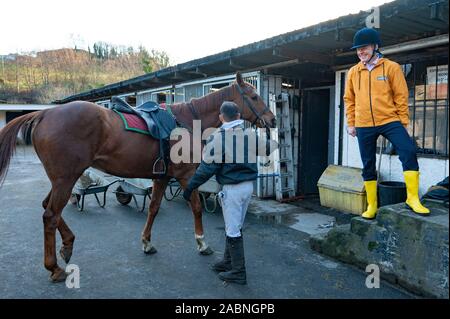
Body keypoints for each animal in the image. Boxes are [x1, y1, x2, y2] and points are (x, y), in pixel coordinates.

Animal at [0, 73, 274, 282]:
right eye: (253, 96)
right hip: (66, 179)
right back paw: (54, 267)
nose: (271, 119)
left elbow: (153, 208)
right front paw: (202, 243)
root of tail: (44, 114)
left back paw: (67, 246)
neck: (188, 122)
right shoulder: (186, 176)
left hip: (60, 179)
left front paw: (146, 243)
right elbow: (196, 208)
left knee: (49, 209)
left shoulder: (162, 176)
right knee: (50, 215)